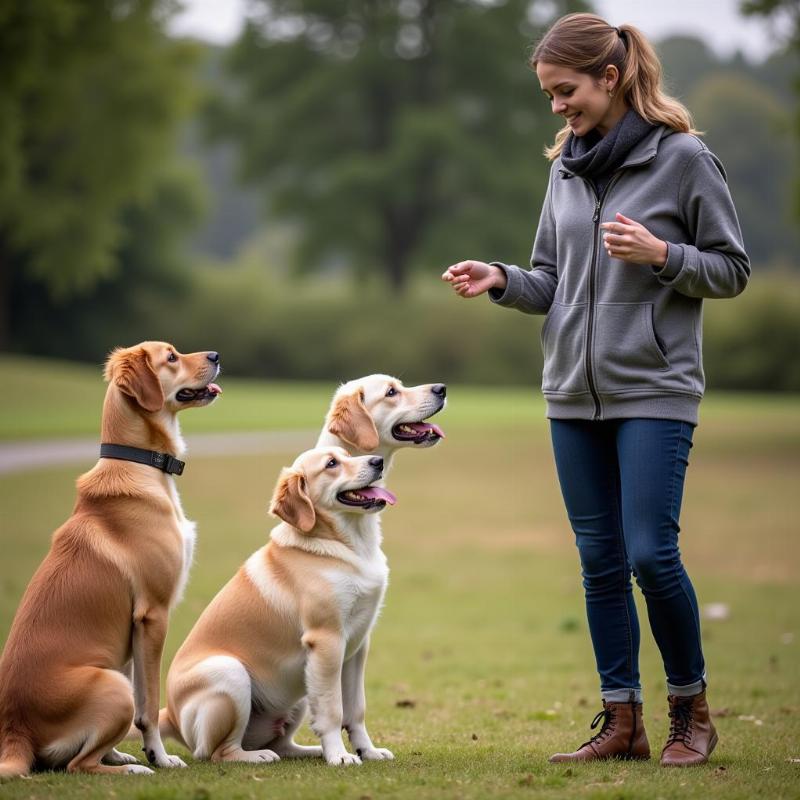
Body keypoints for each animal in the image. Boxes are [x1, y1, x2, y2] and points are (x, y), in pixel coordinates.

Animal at [0, 340, 220, 780]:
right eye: (171, 357)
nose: (217, 356)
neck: (139, 465)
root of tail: (15, 730)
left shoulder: (135, 627)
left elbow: (141, 704)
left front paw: (138, 752)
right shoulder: (154, 615)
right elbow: (149, 705)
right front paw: (161, 757)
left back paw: (117, 757)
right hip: (110, 684)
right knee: (77, 765)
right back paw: (132, 770)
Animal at [163, 446, 400, 764]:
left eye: (347, 454)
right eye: (332, 464)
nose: (378, 461)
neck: (346, 547)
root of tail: (169, 716)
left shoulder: (357, 646)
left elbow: (356, 710)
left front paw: (367, 750)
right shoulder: (327, 642)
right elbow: (333, 711)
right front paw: (339, 756)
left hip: (301, 689)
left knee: (283, 745)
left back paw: (312, 751)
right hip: (231, 673)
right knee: (218, 752)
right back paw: (257, 756)